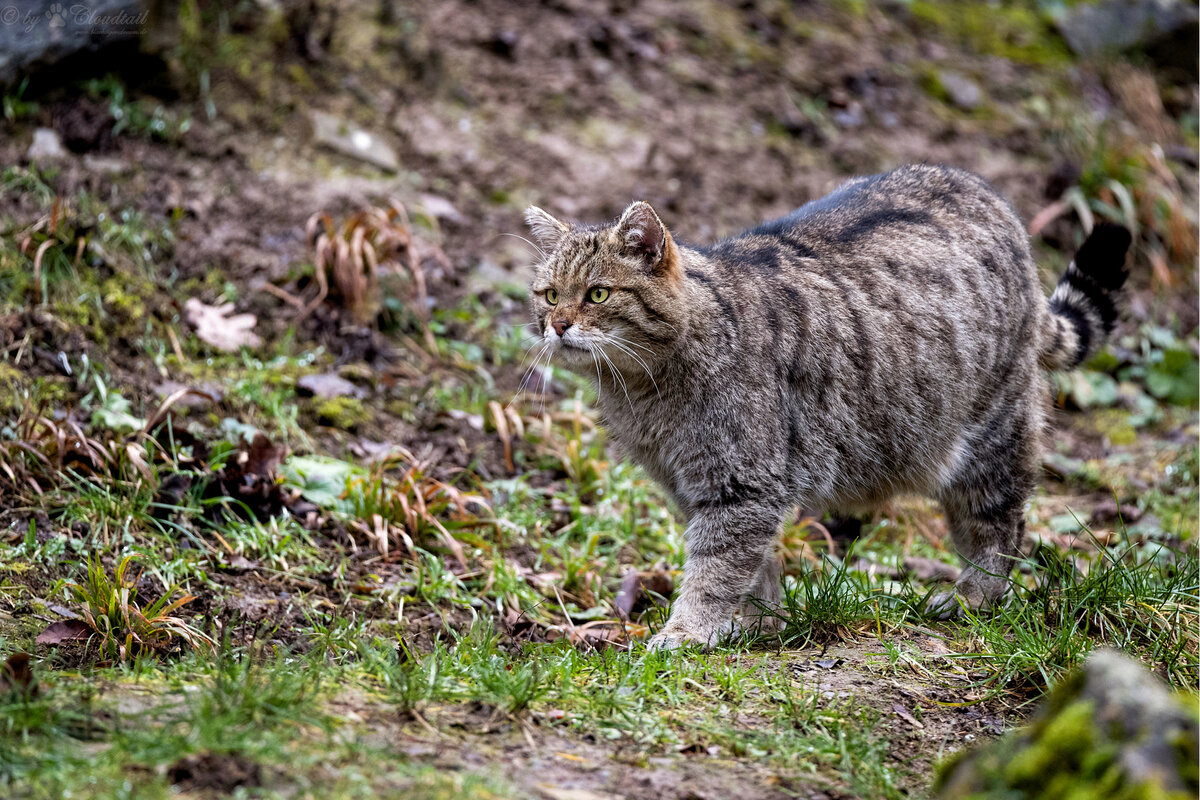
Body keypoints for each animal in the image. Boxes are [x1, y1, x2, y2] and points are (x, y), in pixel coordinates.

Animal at [520, 163, 1128, 652]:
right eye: (548, 295)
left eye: (598, 294)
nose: (558, 324)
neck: (644, 391)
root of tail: (995, 201)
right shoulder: (697, 490)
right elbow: (754, 567)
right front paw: (756, 625)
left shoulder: (740, 485)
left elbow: (715, 570)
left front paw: (689, 631)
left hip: (989, 441)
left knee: (1000, 527)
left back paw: (975, 597)